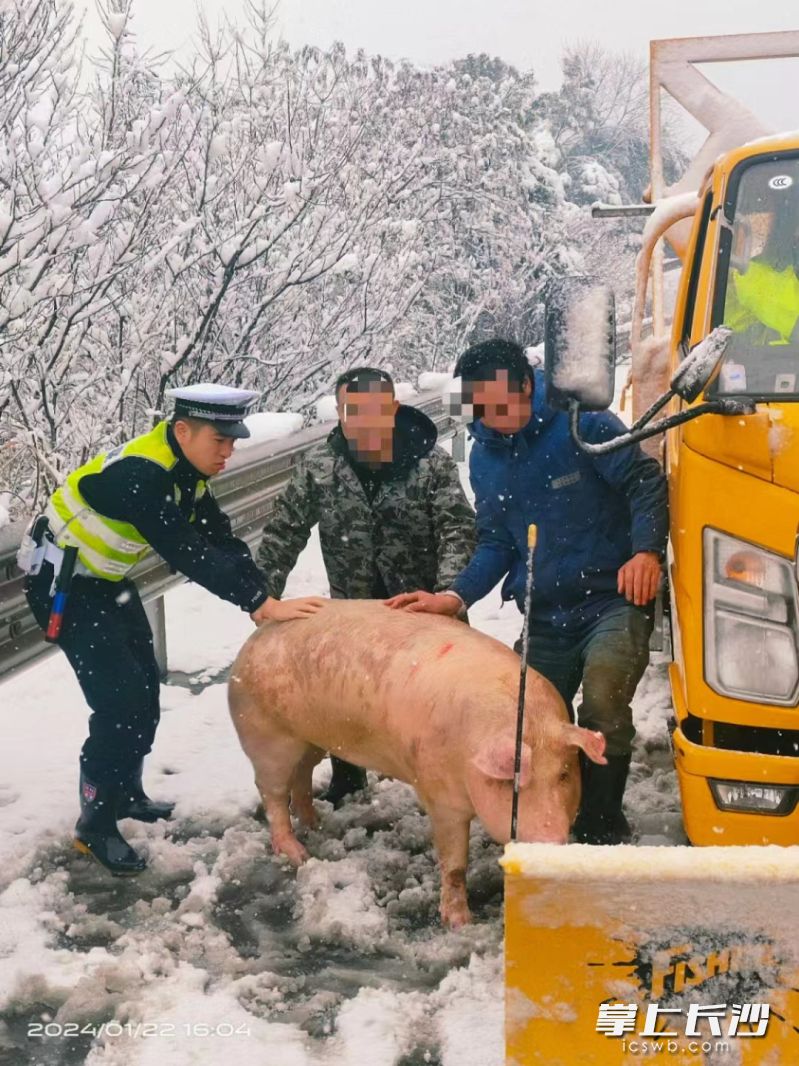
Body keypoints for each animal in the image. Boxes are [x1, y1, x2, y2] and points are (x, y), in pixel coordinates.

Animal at [226, 601, 605, 925]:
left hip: (310, 740)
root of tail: (251, 644)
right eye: (514, 783)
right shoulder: (439, 794)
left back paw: (316, 824)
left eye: (564, 774)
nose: (552, 842)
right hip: (266, 734)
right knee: (272, 792)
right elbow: (454, 864)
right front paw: (458, 923)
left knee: (302, 775)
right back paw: (299, 854)